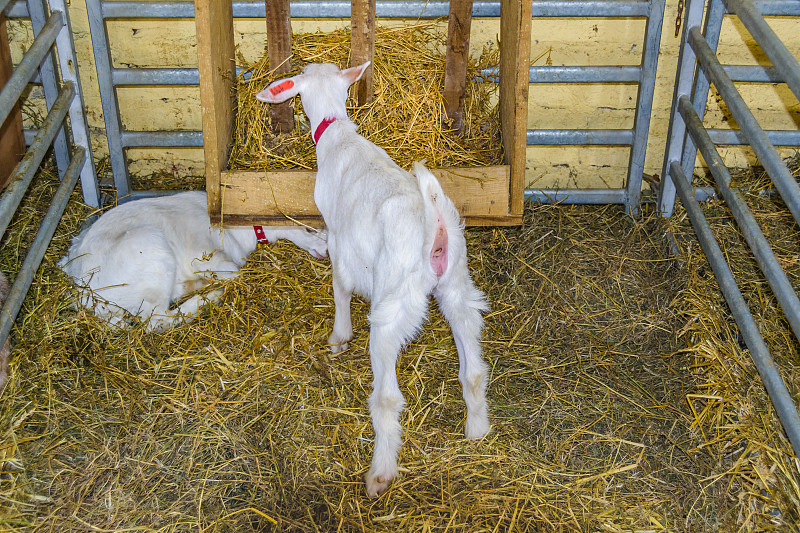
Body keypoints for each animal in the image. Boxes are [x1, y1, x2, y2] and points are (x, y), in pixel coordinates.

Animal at [58, 189, 328, 330]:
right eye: (309, 229)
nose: (327, 252)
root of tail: (83, 291)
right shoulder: (205, 257)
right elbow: (236, 272)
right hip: (151, 253)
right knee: (158, 320)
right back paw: (209, 296)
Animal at [260, 61, 490, 494]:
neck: (339, 135)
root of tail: (434, 225)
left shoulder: (338, 235)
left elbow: (339, 286)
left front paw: (338, 338)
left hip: (392, 307)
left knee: (386, 397)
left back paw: (380, 473)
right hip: (458, 286)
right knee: (472, 369)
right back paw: (477, 431)